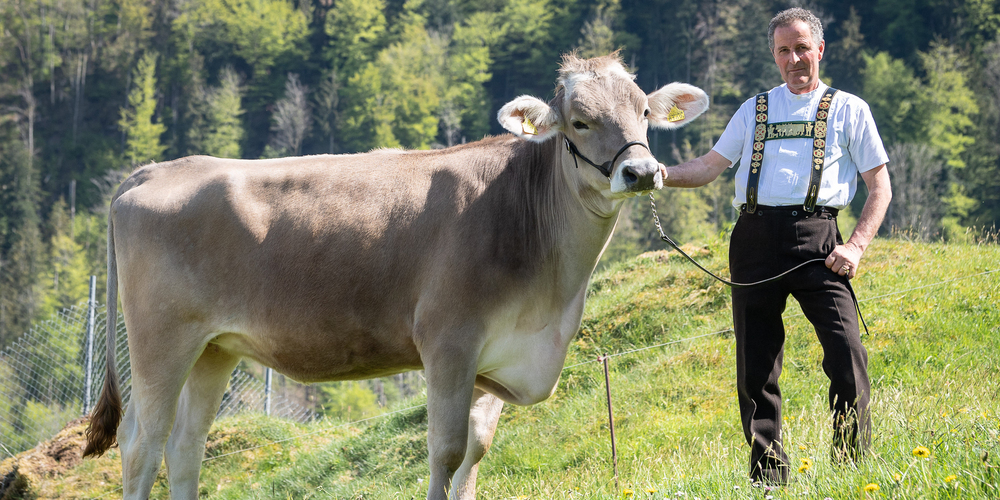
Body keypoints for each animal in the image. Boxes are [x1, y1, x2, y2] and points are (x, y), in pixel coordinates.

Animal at [83, 53, 708, 500]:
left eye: (644, 112)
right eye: (579, 121)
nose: (642, 171)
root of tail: (155, 171)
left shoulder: (495, 358)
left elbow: (476, 454)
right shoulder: (448, 342)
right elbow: (445, 452)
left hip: (214, 347)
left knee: (185, 447)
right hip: (162, 339)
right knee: (141, 444)